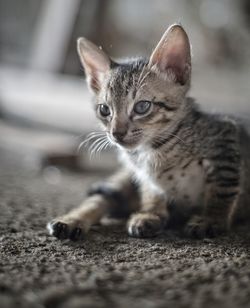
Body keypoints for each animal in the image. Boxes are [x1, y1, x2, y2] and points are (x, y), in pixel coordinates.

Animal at [47, 24, 250, 241]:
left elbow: (222, 190)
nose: (116, 133)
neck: (154, 150)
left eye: (142, 107)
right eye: (104, 110)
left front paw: (210, 219)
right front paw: (151, 213)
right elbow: (151, 190)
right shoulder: (143, 174)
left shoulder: (225, 141)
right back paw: (71, 220)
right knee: (101, 199)